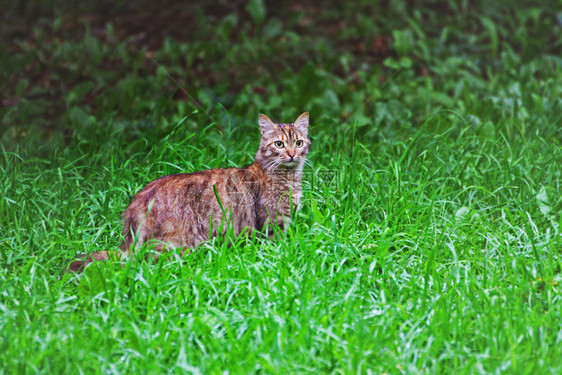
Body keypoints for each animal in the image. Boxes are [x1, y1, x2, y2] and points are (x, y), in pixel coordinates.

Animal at [69, 112, 310, 274]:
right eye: (279, 144)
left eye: (298, 143)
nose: (291, 154)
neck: (287, 177)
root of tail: (138, 203)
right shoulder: (273, 224)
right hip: (175, 245)